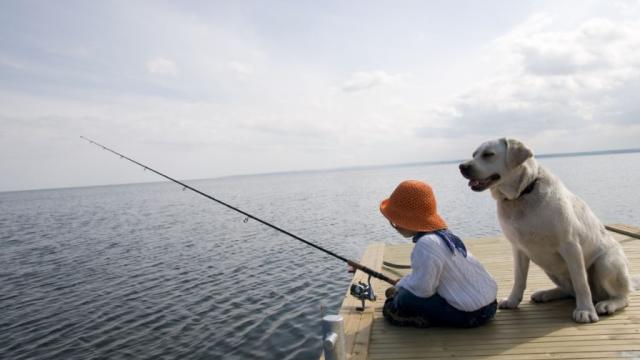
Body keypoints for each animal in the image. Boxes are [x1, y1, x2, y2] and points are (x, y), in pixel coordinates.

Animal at [458, 138, 636, 324]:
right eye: (474, 155)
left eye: (488, 154)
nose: (462, 166)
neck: (522, 194)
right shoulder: (518, 248)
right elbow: (519, 279)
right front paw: (513, 300)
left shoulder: (570, 245)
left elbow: (581, 282)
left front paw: (585, 311)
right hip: (552, 270)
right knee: (569, 291)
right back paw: (546, 294)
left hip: (606, 263)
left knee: (622, 296)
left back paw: (607, 304)